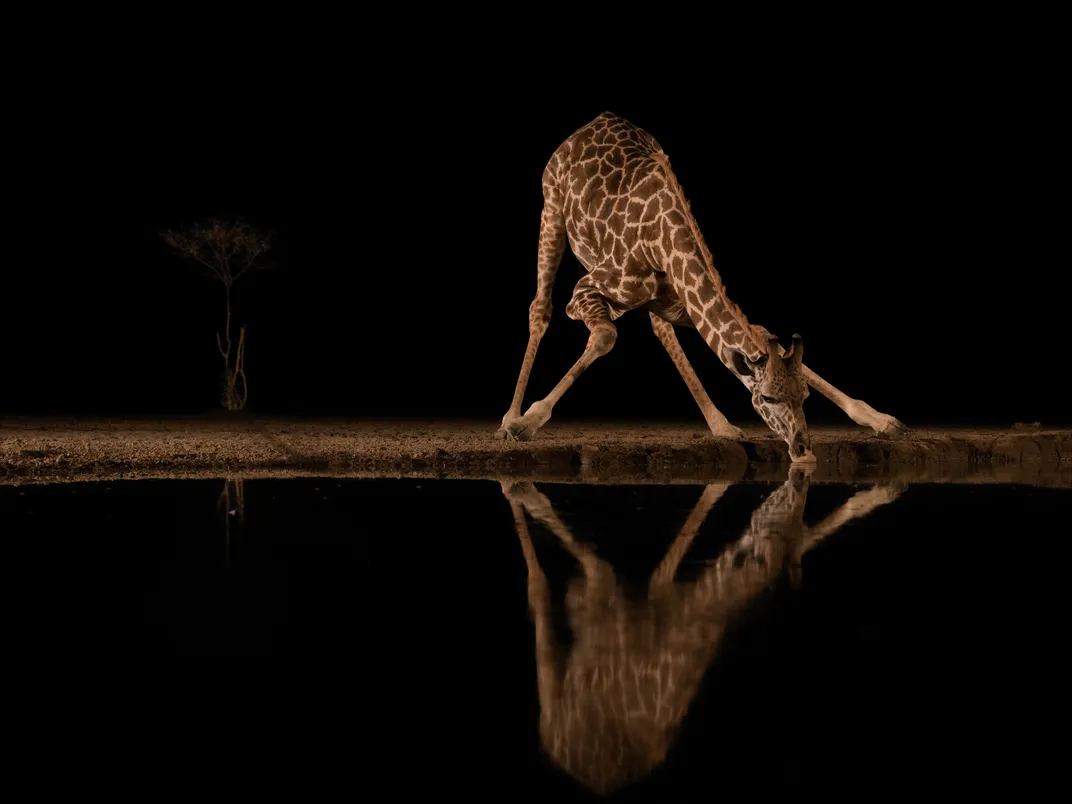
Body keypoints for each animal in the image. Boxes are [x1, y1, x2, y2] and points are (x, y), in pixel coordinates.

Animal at [497, 111, 907, 462]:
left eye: (804, 397)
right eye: (768, 398)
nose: (803, 451)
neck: (663, 243)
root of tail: (592, 122)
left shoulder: (684, 306)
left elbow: (758, 337)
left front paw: (883, 420)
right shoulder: (586, 290)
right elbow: (604, 336)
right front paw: (527, 422)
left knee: (660, 328)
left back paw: (721, 424)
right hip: (551, 210)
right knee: (540, 308)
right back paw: (507, 420)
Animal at [502, 469, 904, 795]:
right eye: (771, 534)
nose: (801, 451)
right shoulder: (611, 609)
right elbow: (604, 568)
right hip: (561, 684)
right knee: (542, 597)